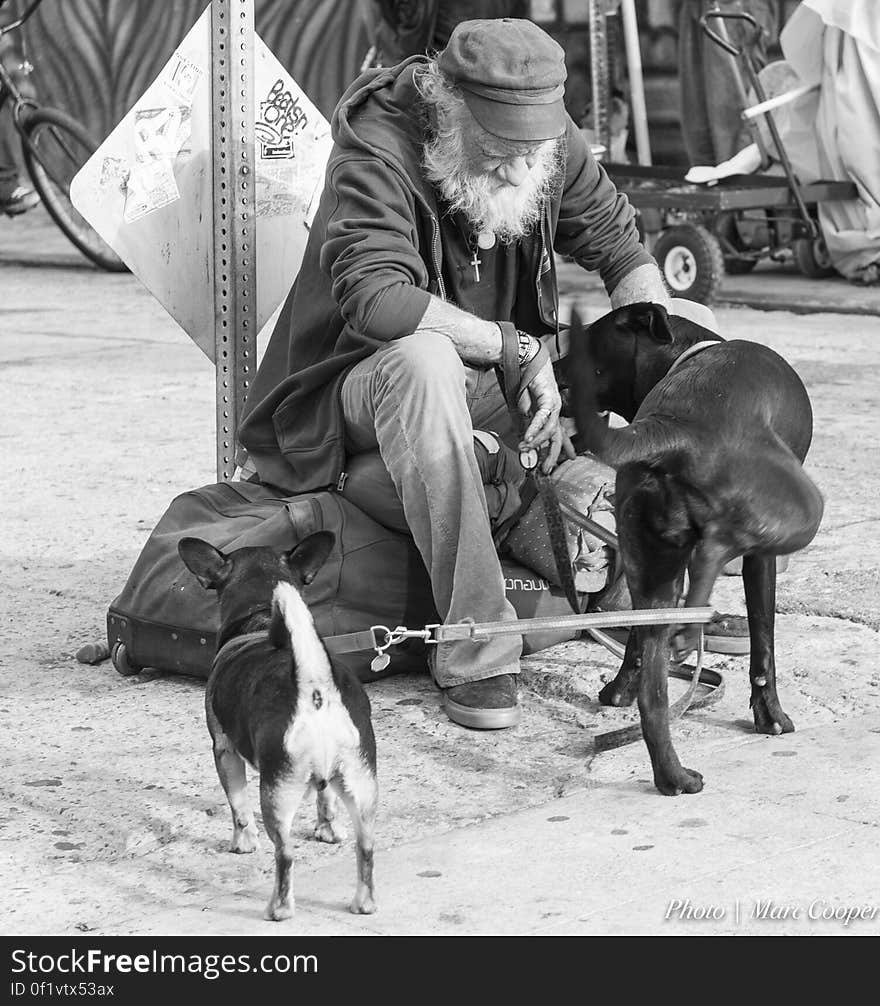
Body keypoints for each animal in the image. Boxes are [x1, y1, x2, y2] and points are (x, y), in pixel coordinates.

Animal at [178, 535, 378, 921]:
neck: (259, 616)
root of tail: (315, 687)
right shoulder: (328, 782)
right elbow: (326, 800)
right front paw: (327, 830)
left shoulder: (224, 750)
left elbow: (238, 805)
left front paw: (243, 842)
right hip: (359, 784)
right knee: (366, 846)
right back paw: (364, 902)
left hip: (276, 794)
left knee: (284, 854)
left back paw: (280, 908)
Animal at [563, 301, 824, 796]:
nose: (551, 371)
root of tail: (676, 428)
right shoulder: (763, 559)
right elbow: (764, 639)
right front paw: (770, 714)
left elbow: (636, 649)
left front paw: (619, 689)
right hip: (804, 509)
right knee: (714, 551)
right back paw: (689, 632)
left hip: (653, 569)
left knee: (654, 696)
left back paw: (672, 775)